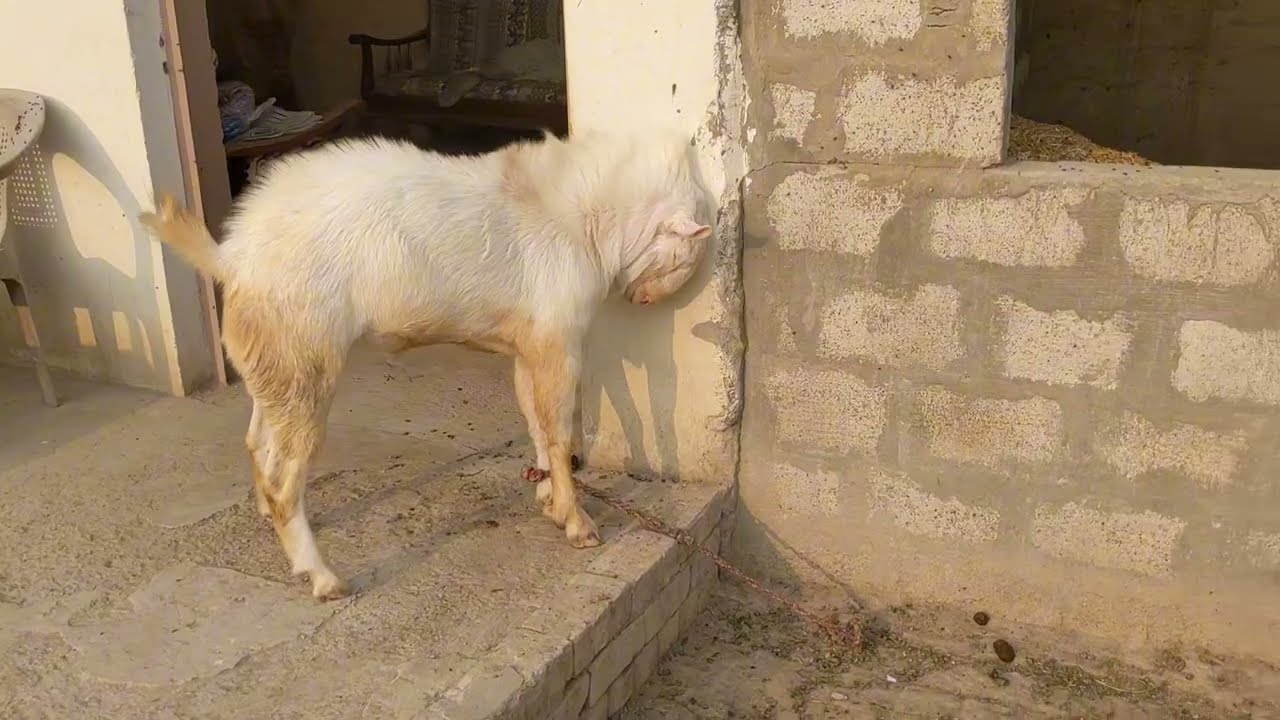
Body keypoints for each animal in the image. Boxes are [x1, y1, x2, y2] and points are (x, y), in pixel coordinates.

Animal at [139, 130, 713, 600]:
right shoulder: (559, 340)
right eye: (684, 257)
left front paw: (548, 498)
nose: (646, 301)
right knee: (287, 475)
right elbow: (559, 430)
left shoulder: (527, 345)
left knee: (259, 442)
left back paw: (269, 516)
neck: (585, 217)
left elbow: (534, 420)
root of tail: (235, 256)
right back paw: (322, 577)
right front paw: (578, 523)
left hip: (276, 361)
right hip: (306, 358)